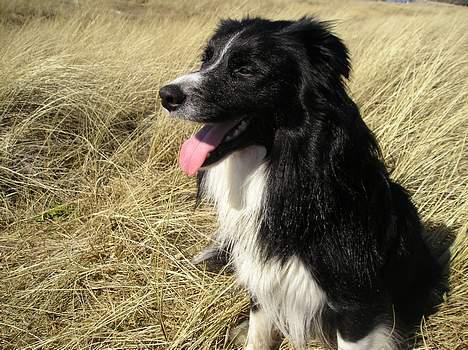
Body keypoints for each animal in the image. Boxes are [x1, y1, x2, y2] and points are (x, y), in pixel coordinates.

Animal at [159, 17, 440, 350]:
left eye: (245, 70)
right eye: (207, 58)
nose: (166, 95)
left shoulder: (357, 302)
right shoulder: (263, 274)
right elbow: (258, 330)